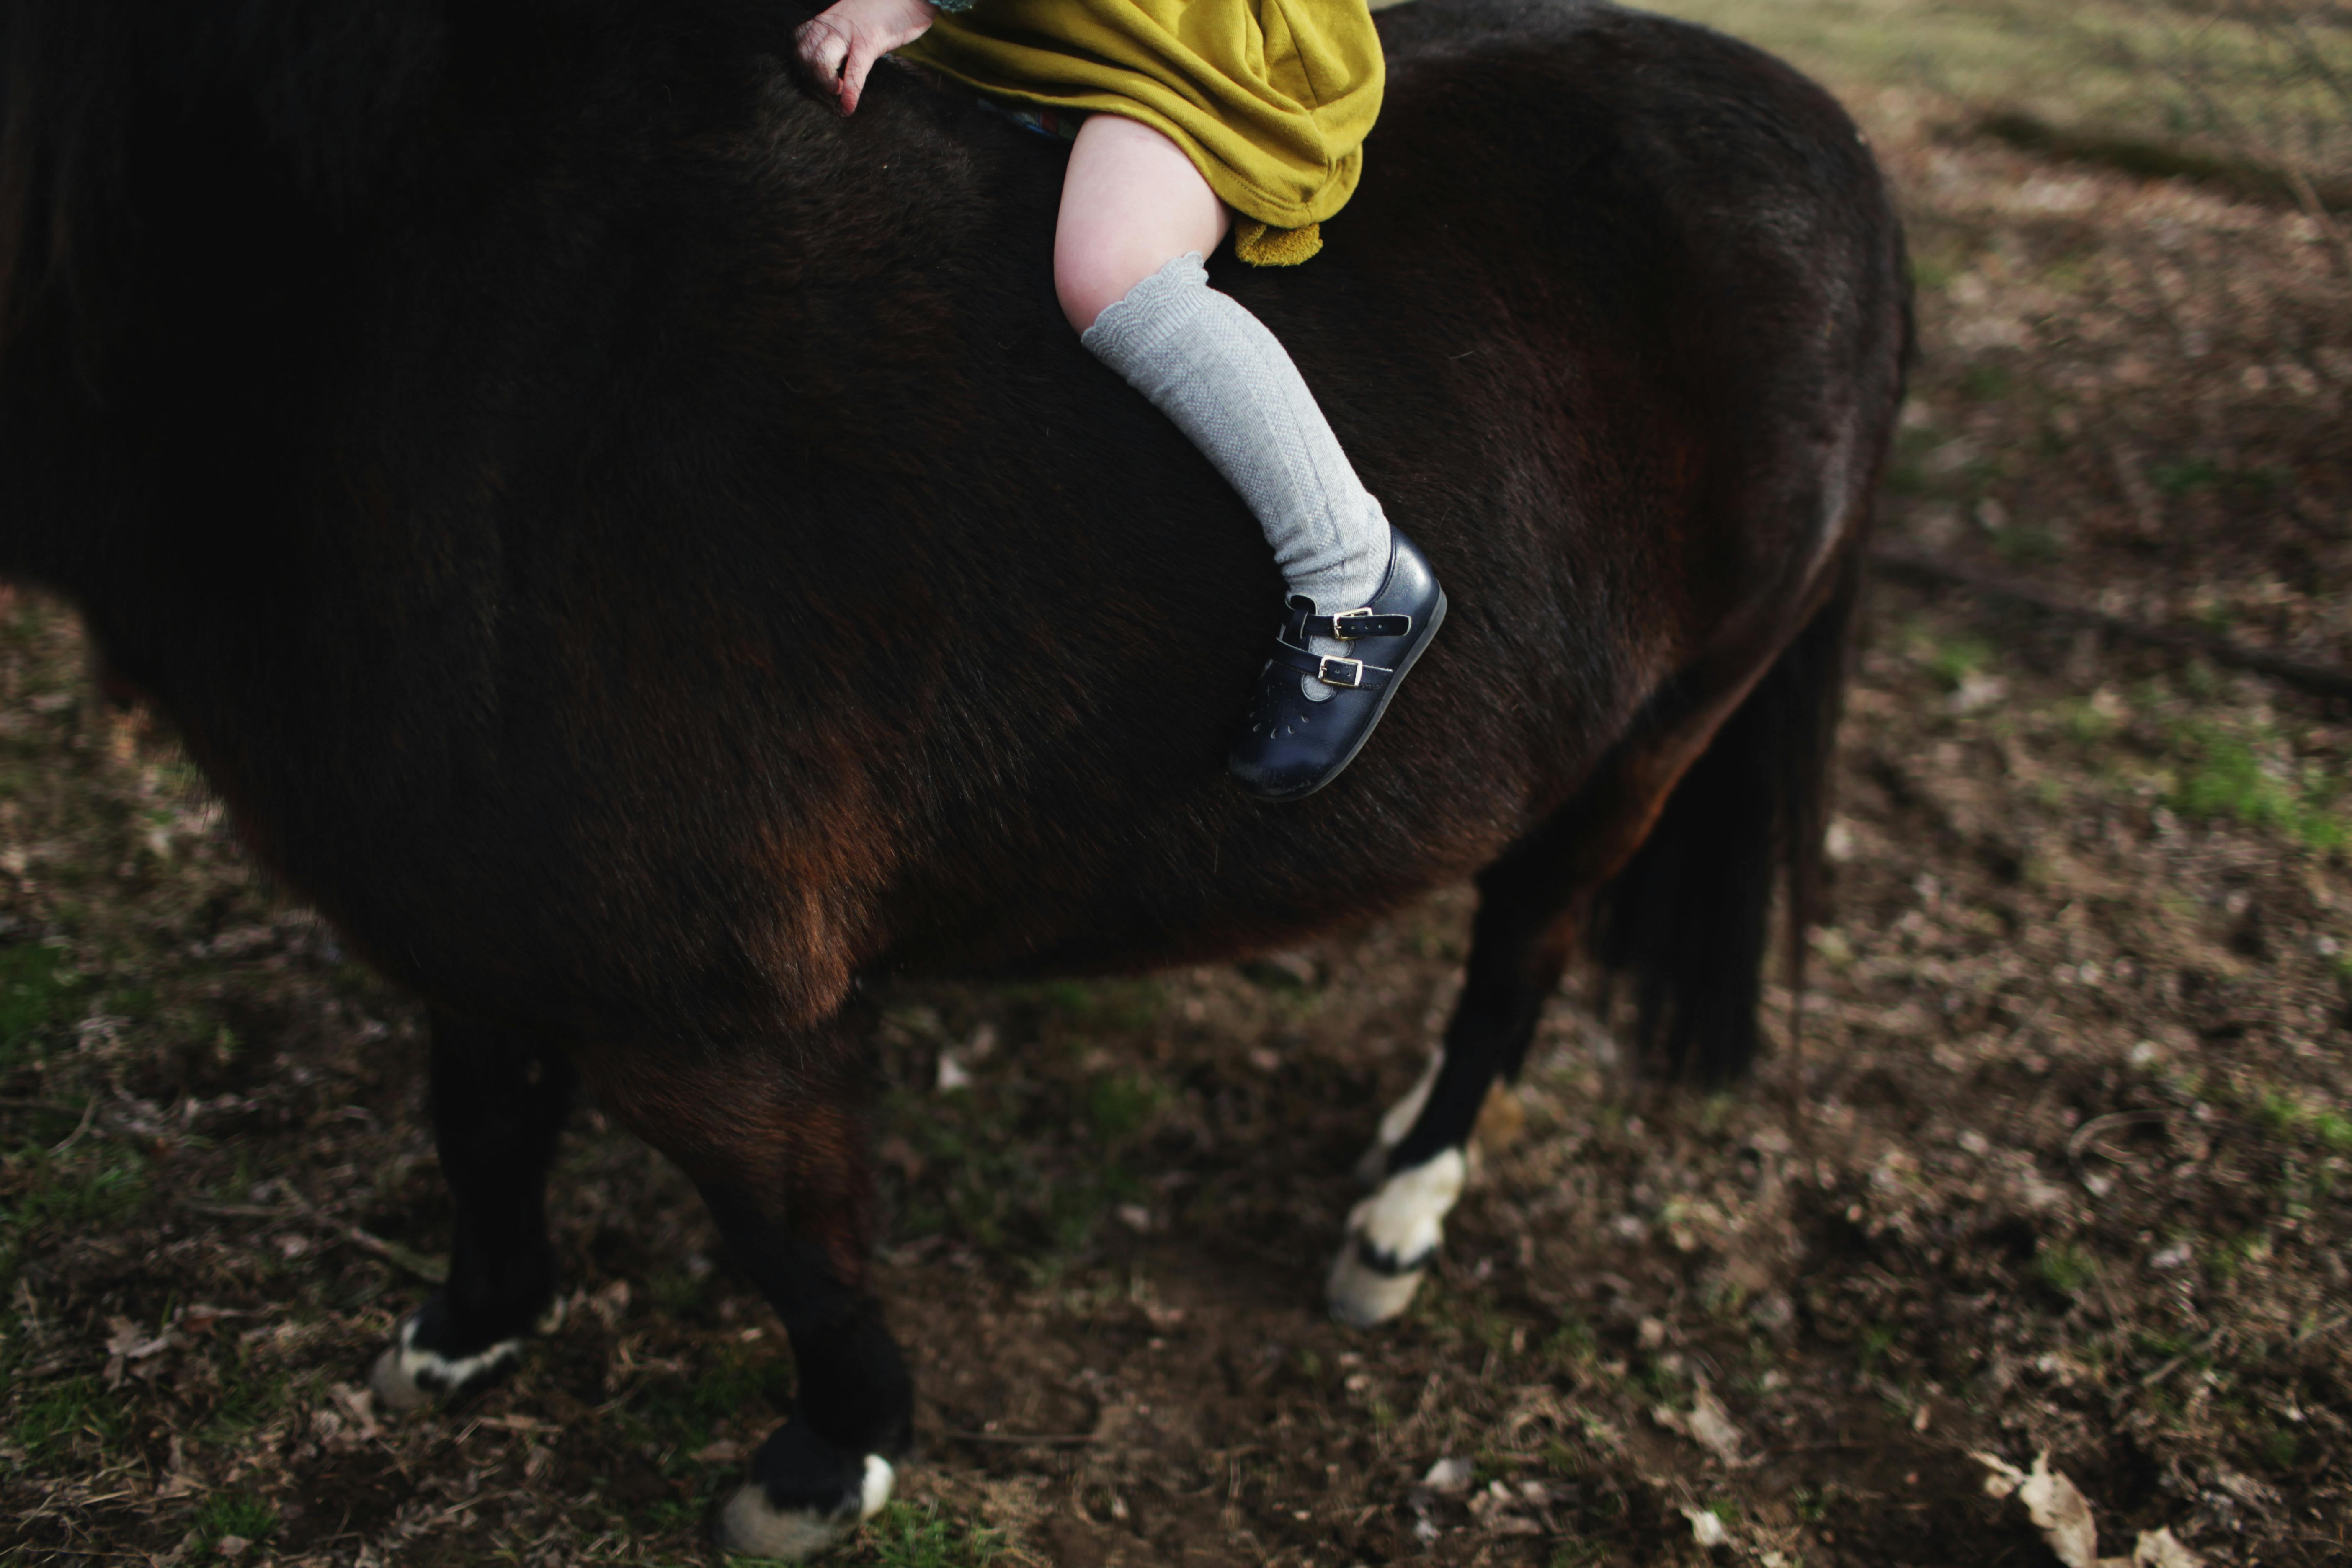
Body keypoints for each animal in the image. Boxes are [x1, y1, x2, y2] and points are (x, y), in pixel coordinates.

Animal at [0, 0, 1910, 1561]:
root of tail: (1837, 143)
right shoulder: (467, 905)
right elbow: (481, 1117)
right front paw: (469, 1331)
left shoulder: (712, 1004)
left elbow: (791, 1235)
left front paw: (825, 1464)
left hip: (1649, 740)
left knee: (1521, 951)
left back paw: (1397, 1213)